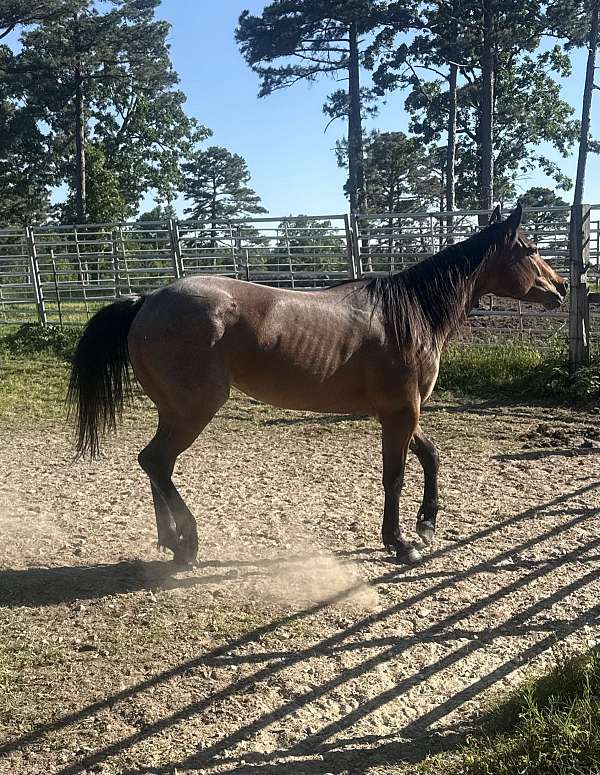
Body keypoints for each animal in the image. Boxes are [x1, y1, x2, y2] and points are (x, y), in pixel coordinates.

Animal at [68, 204, 566, 566]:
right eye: (528, 249)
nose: (561, 287)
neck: (410, 313)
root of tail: (147, 300)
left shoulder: (404, 411)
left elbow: (431, 456)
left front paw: (426, 525)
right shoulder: (400, 412)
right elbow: (395, 475)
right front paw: (400, 543)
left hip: (173, 411)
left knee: (157, 465)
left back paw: (171, 544)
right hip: (194, 409)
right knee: (156, 462)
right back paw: (187, 542)